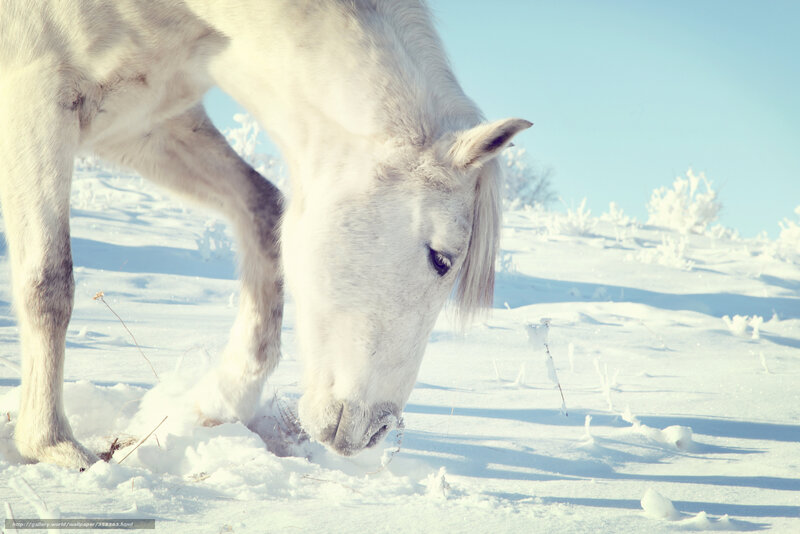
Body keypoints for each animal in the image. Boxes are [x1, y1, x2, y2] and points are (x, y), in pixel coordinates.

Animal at [0, 0, 530, 468]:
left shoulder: (142, 123)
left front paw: (222, 399)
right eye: (441, 258)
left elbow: (263, 210)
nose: (377, 431)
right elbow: (49, 283)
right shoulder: (36, 98)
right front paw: (51, 444)